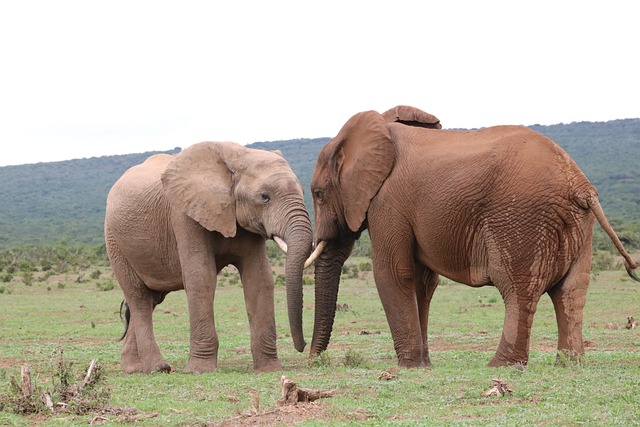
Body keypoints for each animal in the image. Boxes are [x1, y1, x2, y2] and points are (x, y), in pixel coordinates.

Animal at [104, 141, 312, 374]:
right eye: (264, 197)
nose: (304, 346)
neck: (237, 156)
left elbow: (260, 278)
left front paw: (269, 370)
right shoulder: (184, 214)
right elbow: (201, 276)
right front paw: (199, 370)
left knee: (152, 299)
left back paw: (134, 368)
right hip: (114, 240)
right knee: (138, 298)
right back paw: (158, 368)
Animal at [308, 106, 636, 368]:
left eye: (318, 194)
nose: (313, 361)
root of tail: (579, 184)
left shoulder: (387, 203)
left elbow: (393, 273)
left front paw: (409, 367)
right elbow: (422, 282)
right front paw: (424, 365)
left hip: (520, 217)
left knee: (518, 289)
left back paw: (500, 366)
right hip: (579, 225)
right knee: (571, 292)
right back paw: (569, 364)